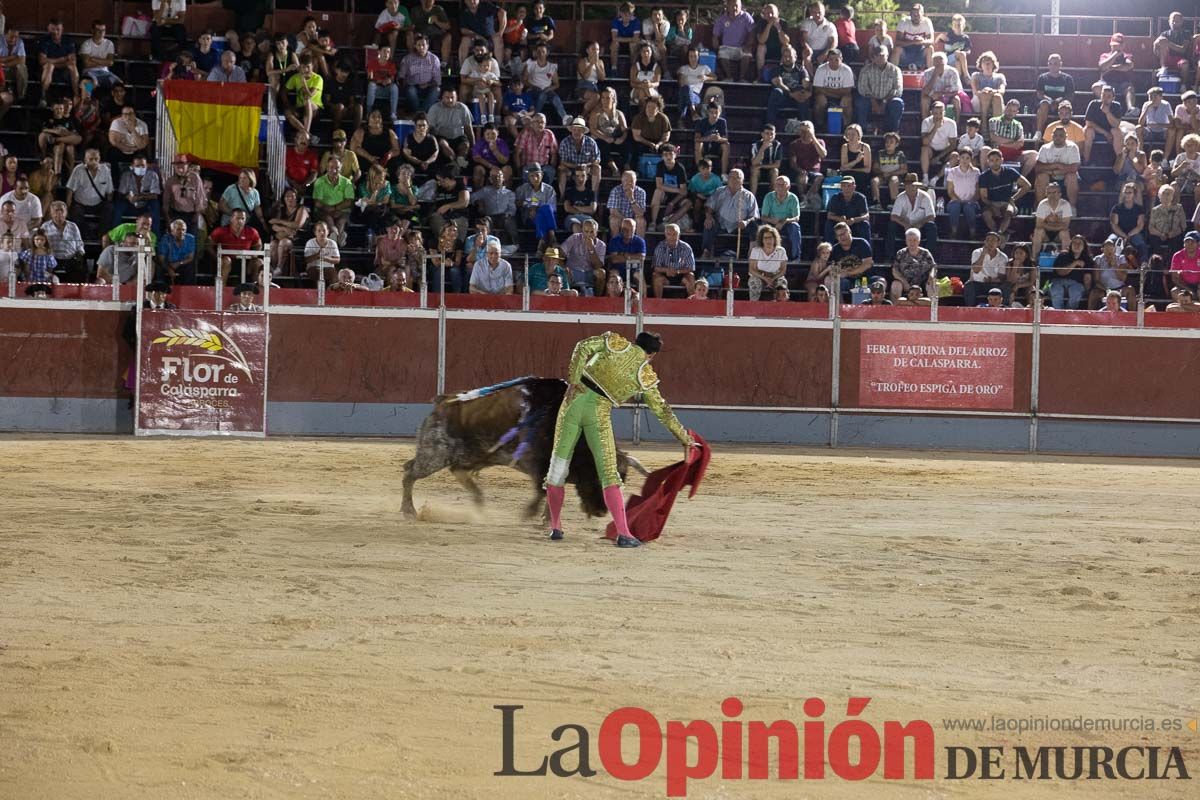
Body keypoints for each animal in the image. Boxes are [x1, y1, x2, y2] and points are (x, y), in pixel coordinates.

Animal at [400, 376, 648, 520]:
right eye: (598, 475)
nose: (601, 512)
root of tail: (443, 402)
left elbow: (553, 489)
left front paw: (546, 519)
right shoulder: (537, 463)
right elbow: (543, 490)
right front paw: (531, 515)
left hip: (469, 455)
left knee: (455, 472)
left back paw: (480, 504)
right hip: (435, 454)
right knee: (410, 473)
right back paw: (409, 511)